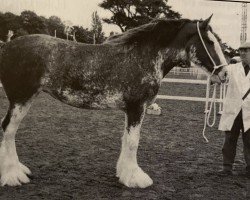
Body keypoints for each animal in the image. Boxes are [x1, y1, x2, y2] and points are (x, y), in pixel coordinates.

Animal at [0, 15, 228, 188]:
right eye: (209, 41)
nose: (225, 74)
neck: (144, 56)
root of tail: (7, 48)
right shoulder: (137, 108)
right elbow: (133, 141)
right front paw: (136, 178)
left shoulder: (130, 110)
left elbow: (125, 139)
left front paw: (124, 173)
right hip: (20, 99)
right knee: (8, 130)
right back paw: (13, 175)